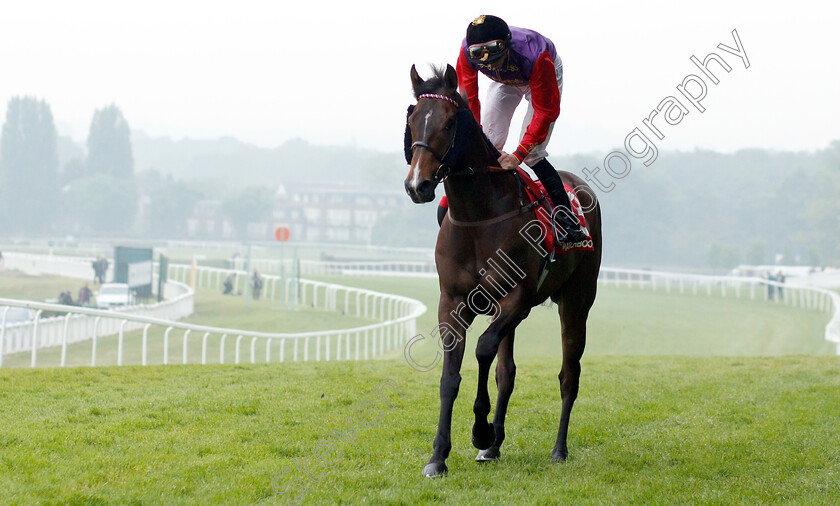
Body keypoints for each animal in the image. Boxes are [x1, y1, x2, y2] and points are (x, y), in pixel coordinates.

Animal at [404, 65, 600, 476]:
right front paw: (439, 456)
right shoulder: (453, 302)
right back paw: (494, 447)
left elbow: (482, 350)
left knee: (569, 374)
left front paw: (480, 429)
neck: (479, 217)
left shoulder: (517, 300)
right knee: (506, 371)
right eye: (413, 120)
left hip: (577, 301)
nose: (418, 185)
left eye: (449, 123)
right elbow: (452, 376)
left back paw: (558, 449)